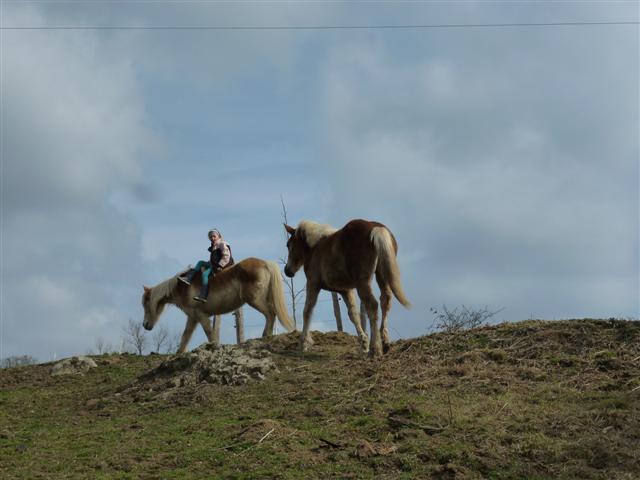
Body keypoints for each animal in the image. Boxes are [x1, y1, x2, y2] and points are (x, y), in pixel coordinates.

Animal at [142, 257, 295, 353]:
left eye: (145, 304)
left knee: (270, 313)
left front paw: (214, 347)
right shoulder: (193, 318)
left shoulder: (201, 315)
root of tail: (266, 263)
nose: (145, 325)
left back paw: (265, 335)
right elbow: (185, 336)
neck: (182, 287)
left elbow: (210, 333)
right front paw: (179, 352)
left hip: (255, 300)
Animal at [284, 219, 411, 357]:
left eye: (288, 244)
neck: (315, 247)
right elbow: (353, 315)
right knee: (385, 301)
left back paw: (375, 350)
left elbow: (307, 311)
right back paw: (385, 343)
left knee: (372, 305)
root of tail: (376, 228)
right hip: (381, 276)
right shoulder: (345, 290)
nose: (287, 271)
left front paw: (303, 344)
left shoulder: (313, 283)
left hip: (363, 282)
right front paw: (363, 344)